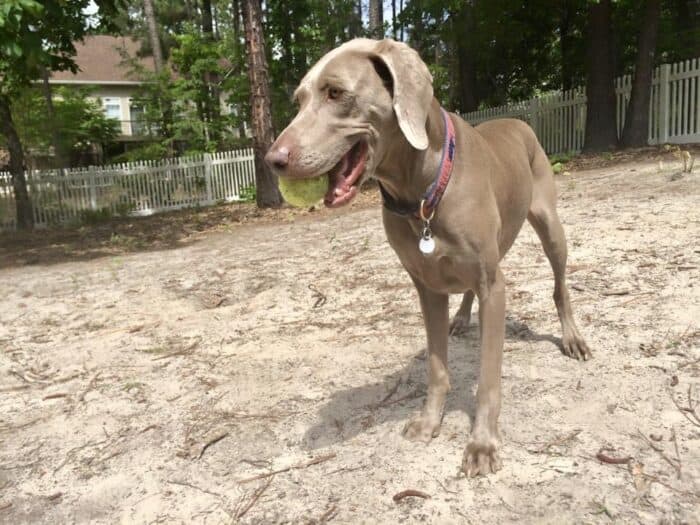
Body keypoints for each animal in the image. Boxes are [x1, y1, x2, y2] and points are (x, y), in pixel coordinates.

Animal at [266, 39, 588, 474]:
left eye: (335, 92)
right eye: (298, 101)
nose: (274, 160)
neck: (420, 191)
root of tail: (518, 122)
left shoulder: (492, 283)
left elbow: (488, 377)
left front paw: (483, 443)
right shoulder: (426, 286)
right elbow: (436, 367)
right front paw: (429, 422)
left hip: (550, 226)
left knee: (559, 286)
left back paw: (572, 337)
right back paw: (462, 319)